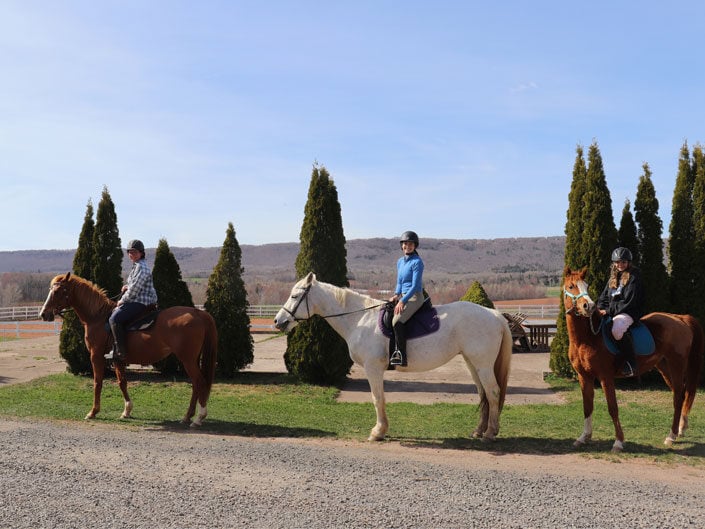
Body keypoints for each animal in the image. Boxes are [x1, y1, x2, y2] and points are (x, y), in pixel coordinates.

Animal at [40, 272, 217, 424]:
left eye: (58, 291)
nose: (43, 314)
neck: (98, 318)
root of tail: (199, 313)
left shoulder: (96, 356)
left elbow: (98, 382)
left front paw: (93, 412)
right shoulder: (118, 358)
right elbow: (122, 382)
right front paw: (127, 411)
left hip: (187, 359)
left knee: (199, 382)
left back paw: (198, 418)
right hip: (192, 359)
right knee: (196, 384)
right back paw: (188, 417)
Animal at [274, 272, 512, 442]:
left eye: (295, 296)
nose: (278, 321)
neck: (360, 319)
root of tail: (494, 315)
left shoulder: (372, 368)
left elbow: (377, 398)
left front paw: (377, 432)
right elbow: (379, 398)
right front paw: (381, 430)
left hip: (482, 364)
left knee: (492, 392)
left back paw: (490, 433)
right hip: (473, 363)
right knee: (483, 393)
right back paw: (479, 431)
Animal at [560, 266, 700, 452]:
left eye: (587, 286)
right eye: (571, 286)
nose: (588, 306)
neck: (588, 337)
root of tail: (680, 318)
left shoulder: (605, 377)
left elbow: (613, 407)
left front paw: (618, 442)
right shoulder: (584, 377)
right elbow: (587, 406)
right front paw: (584, 437)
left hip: (676, 365)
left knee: (678, 396)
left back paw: (671, 436)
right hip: (664, 367)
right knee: (681, 394)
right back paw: (678, 431)